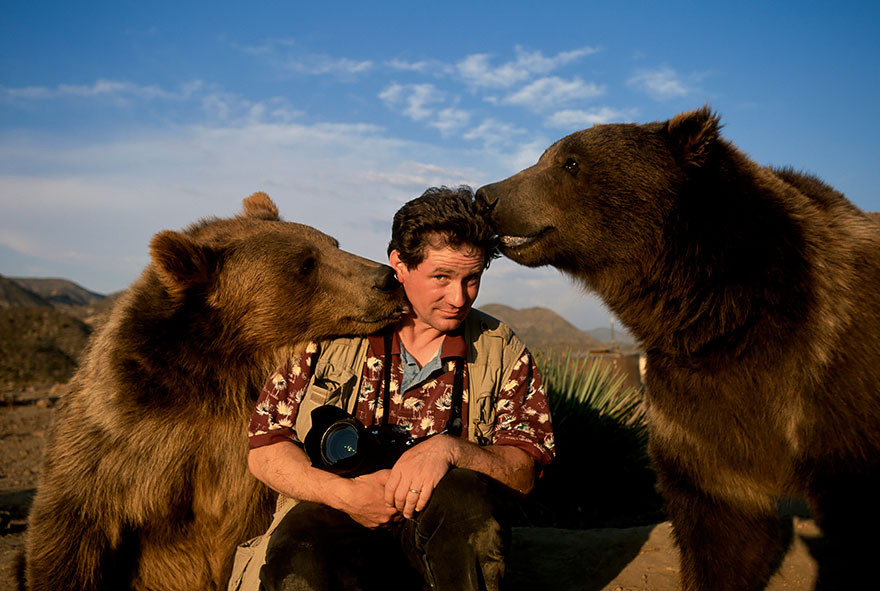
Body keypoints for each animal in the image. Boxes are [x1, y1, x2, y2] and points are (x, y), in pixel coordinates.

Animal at [23, 194, 410, 591]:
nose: (386, 279)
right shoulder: (119, 440)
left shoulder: (237, 473)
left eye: (333, 243)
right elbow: (72, 532)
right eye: (305, 264)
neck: (222, 375)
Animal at [474, 107, 880, 591]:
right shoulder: (696, 406)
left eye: (569, 162)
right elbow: (723, 526)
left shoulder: (830, 370)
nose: (486, 195)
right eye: (545, 156)